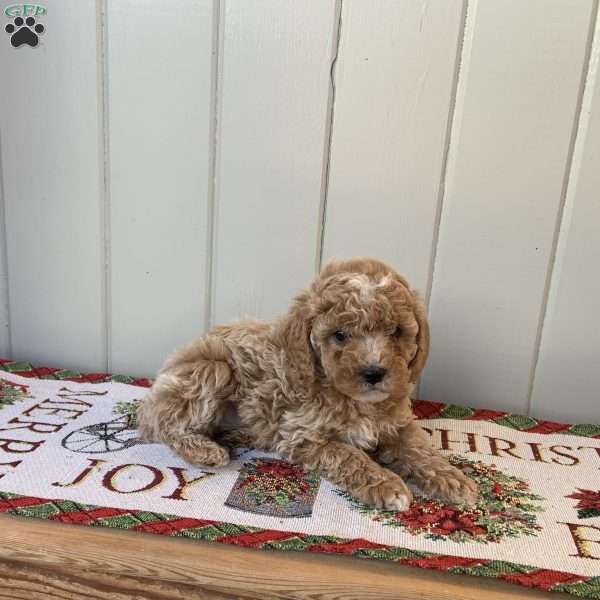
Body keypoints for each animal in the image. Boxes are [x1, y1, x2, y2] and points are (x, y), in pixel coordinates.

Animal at [138, 258, 480, 510]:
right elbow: (350, 456)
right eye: (339, 335)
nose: (374, 372)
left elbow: (419, 447)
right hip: (212, 369)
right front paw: (385, 484)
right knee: (162, 426)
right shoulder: (303, 436)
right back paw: (205, 450)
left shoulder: (398, 423)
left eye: (396, 332)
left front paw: (451, 478)